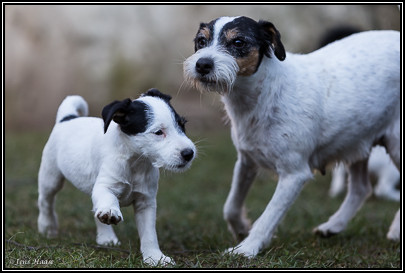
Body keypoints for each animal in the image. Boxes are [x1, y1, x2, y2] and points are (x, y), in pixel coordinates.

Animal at [38, 88, 196, 264]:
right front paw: (110, 210)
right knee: (45, 201)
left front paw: (155, 257)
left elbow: (149, 234)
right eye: (158, 132)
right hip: (51, 177)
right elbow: (108, 198)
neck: (136, 162)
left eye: (182, 124)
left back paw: (106, 237)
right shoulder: (105, 186)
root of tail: (67, 118)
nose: (189, 153)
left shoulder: (146, 202)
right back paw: (47, 227)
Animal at [184, 16, 400, 258]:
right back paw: (333, 226)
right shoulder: (246, 161)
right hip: (355, 141)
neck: (264, 94)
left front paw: (246, 248)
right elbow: (230, 205)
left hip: (395, 145)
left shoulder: (294, 175)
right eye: (201, 41)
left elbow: (269, 216)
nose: (202, 64)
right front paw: (241, 229)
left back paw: (394, 231)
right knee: (361, 188)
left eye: (238, 42)